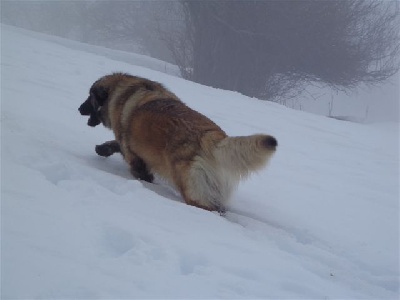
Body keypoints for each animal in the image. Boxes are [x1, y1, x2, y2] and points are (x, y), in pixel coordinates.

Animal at [79, 73, 276, 212]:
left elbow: (132, 160)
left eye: (90, 96)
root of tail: (212, 136)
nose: (79, 108)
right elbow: (115, 144)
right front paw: (102, 148)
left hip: (191, 187)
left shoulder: (131, 151)